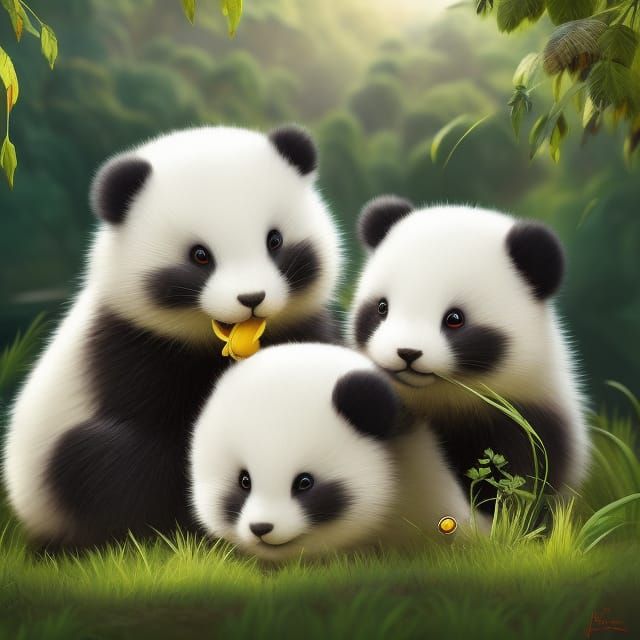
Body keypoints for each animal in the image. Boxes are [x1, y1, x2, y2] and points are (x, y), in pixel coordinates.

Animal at [3, 124, 342, 549]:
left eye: (274, 240)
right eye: (200, 255)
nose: (251, 299)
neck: (218, 345)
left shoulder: (301, 327)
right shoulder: (133, 347)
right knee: (91, 460)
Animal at [348, 196, 590, 514]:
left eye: (455, 318)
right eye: (382, 308)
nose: (407, 353)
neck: (441, 397)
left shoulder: (526, 422)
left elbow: (513, 488)